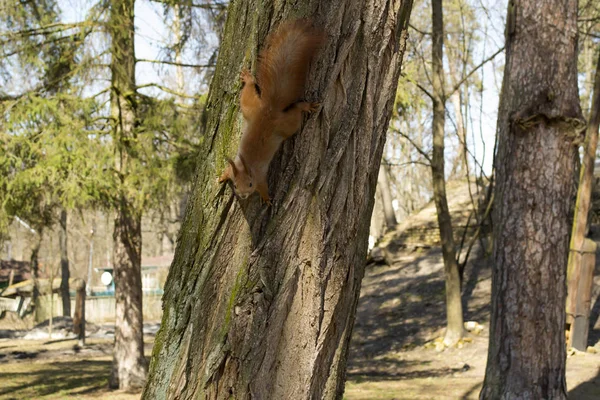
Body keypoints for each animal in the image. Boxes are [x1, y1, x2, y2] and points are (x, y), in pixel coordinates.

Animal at [219, 19, 326, 205]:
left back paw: (306, 106)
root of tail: (270, 109)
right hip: (251, 107)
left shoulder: (260, 178)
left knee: (296, 112)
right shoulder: (234, 169)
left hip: (287, 124)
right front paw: (221, 177)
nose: (243, 195)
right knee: (249, 90)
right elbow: (227, 171)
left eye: (250, 183)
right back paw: (248, 78)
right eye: (236, 185)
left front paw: (267, 198)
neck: (247, 167)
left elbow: (263, 187)